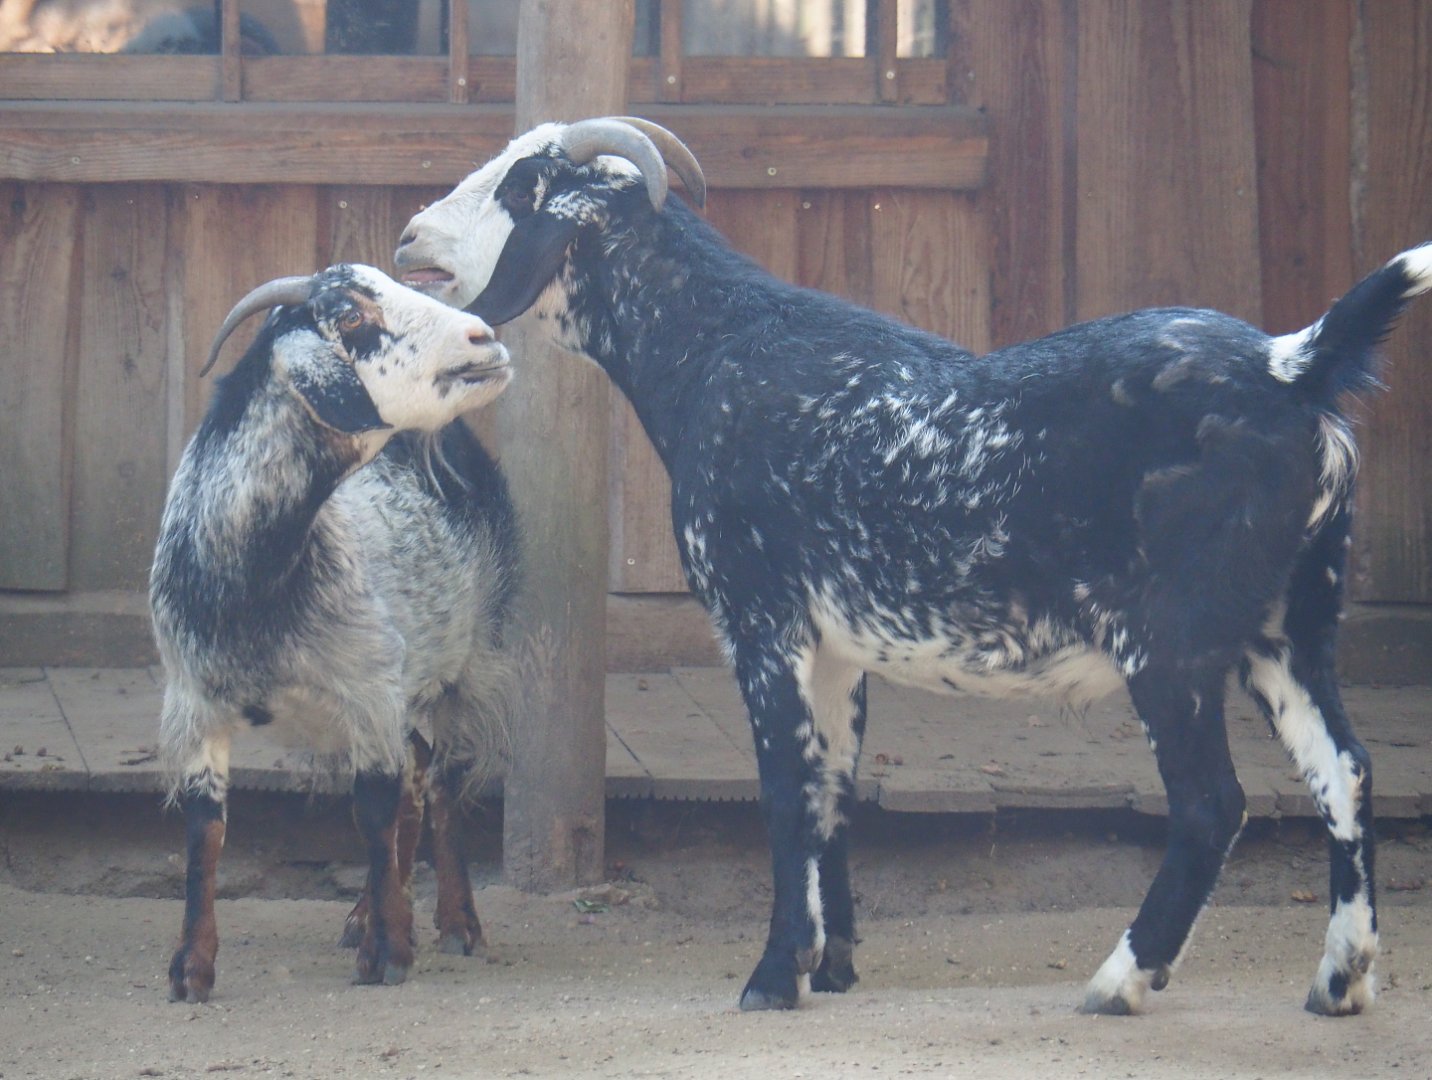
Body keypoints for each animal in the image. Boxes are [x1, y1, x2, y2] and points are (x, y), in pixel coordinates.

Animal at [150, 264, 518, 1002]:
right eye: (349, 315)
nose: (483, 337)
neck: (253, 581)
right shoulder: (194, 699)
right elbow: (206, 829)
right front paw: (190, 970)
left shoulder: (368, 684)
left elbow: (372, 809)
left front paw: (387, 954)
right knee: (415, 782)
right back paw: (373, 913)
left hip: (466, 660)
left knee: (440, 784)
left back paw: (456, 922)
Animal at [394, 117, 1431, 1016]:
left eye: (517, 185)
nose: (408, 236)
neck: (715, 346)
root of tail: (1291, 364)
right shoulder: (839, 648)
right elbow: (832, 795)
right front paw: (832, 964)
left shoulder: (760, 620)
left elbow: (785, 793)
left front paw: (773, 976)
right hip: (1289, 626)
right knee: (1346, 770)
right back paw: (1340, 981)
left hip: (1170, 645)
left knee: (1213, 804)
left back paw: (1119, 981)